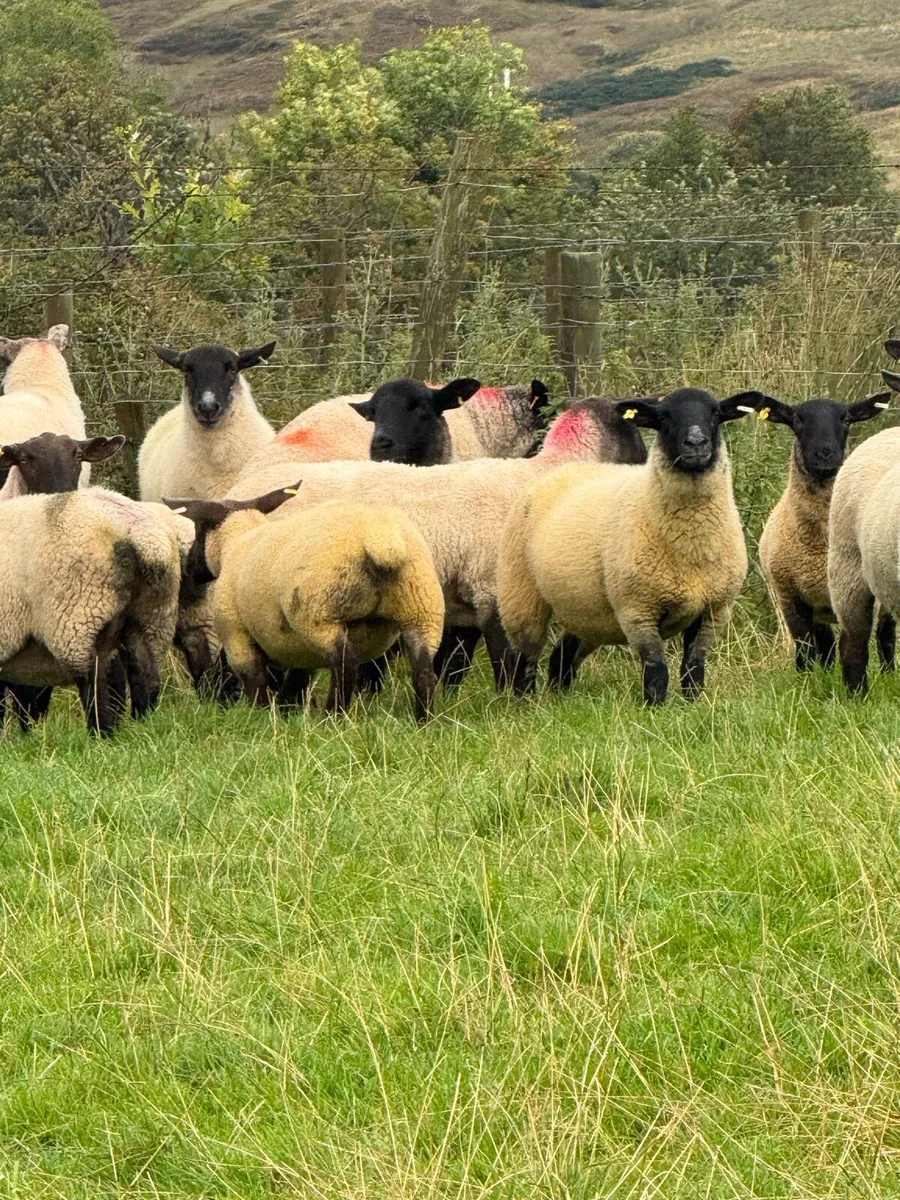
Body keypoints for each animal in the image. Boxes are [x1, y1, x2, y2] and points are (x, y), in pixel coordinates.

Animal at [0, 488, 193, 735]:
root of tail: (144, 535)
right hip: (155, 613)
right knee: (145, 672)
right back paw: (142, 727)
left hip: (81, 612)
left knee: (94, 679)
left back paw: (101, 733)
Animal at [166, 488, 445, 721]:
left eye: (199, 531)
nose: (191, 569)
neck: (236, 543)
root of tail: (382, 541)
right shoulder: (298, 647)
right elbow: (298, 679)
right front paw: (287, 710)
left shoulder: (236, 633)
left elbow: (253, 677)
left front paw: (261, 714)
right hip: (422, 608)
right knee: (423, 669)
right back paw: (422, 720)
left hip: (318, 614)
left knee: (345, 662)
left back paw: (333, 717)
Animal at [226, 398, 652, 689]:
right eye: (634, 430)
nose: (649, 458)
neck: (542, 476)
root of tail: (238, 491)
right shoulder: (494, 589)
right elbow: (508, 662)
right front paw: (514, 708)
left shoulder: (467, 604)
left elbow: (457, 665)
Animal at [496, 388, 764, 704]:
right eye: (665, 417)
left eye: (715, 413)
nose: (696, 443)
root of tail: (564, 469)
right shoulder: (638, 608)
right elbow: (657, 669)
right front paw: (656, 707)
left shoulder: (714, 608)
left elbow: (694, 666)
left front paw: (694, 704)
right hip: (521, 592)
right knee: (525, 658)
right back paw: (524, 703)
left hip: (590, 610)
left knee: (563, 652)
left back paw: (561, 697)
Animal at [753, 393, 890, 671]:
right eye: (797, 419)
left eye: (846, 419)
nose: (826, 455)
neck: (820, 543)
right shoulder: (791, 599)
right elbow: (805, 650)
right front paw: (807, 678)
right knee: (824, 646)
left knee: (885, 635)